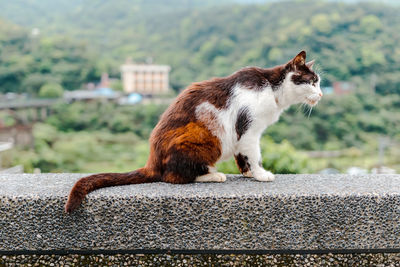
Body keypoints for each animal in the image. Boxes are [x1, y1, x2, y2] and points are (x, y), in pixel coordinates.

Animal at [65, 50, 322, 214]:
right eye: (312, 82)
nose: (320, 94)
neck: (272, 90)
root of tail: (152, 160)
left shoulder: (244, 134)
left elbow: (242, 156)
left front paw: (249, 173)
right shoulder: (249, 129)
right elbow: (254, 154)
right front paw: (260, 174)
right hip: (203, 137)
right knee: (173, 177)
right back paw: (212, 175)